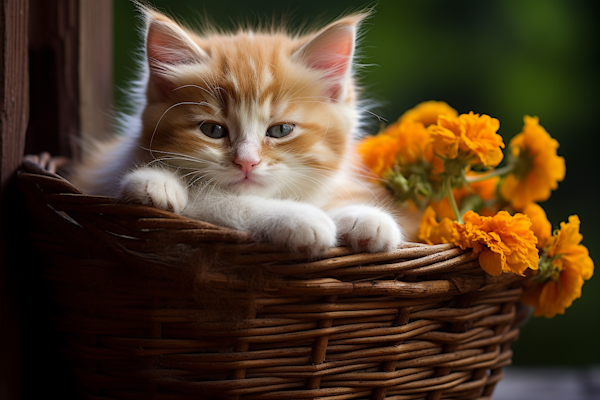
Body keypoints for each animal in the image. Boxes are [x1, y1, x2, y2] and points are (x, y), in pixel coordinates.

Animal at [70, 6, 414, 255]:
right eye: (212, 130)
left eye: (281, 130)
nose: (246, 162)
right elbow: (220, 201)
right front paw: (300, 217)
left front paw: (365, 218)